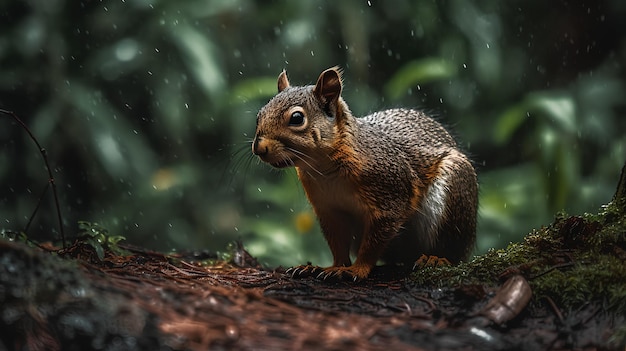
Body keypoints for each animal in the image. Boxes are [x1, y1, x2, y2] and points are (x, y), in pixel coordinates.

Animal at [251, 66, 476, 280]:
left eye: (297, 118)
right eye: (259, 115)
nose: (259, 148)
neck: (324, 169)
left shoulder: (390, 194)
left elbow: (374, 242)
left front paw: (356, 269)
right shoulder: (328, 208)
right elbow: (337, 242)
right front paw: (329, 267)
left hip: (455, 190)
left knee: (453, 249)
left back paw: (436, 258)